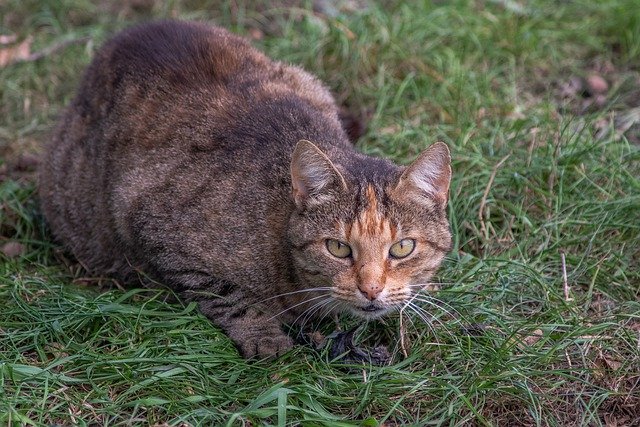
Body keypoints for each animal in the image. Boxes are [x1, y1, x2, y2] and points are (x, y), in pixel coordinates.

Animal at [37, 21, 452, 360]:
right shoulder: (156, 229)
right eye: (337, 248)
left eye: (402, 248)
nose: (371, 290)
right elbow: (231, 297)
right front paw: (264, 336)